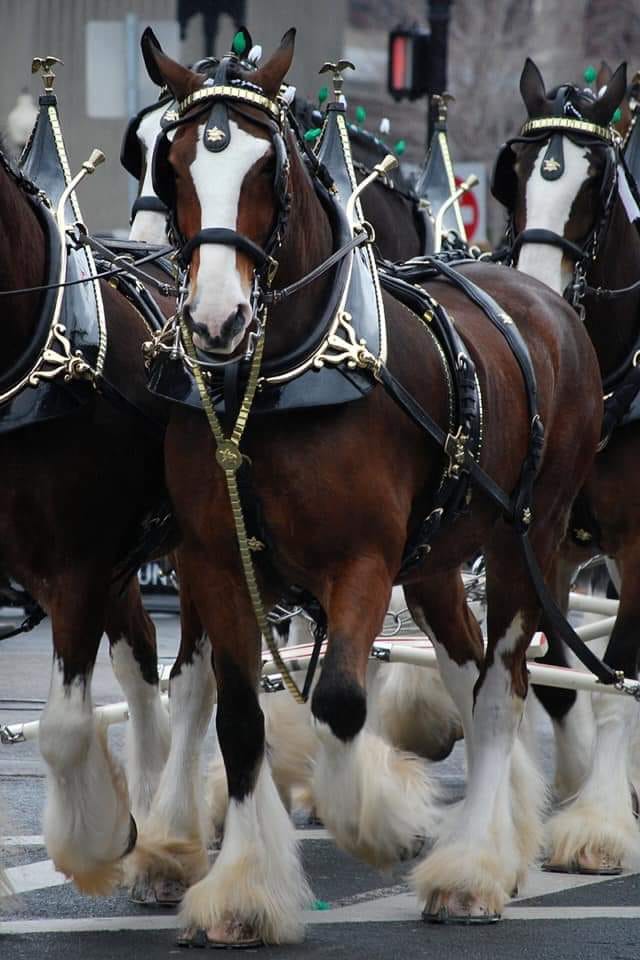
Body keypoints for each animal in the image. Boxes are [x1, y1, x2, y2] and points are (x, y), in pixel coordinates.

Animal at [142, 31, 604, 944]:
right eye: (172, 166)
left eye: (266, 166)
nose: (215, 321)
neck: (280, 380)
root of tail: (541, 298)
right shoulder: (214, 563)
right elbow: (238, 719)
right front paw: (242, 888)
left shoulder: (360, 561)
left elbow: (344, 701)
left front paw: (381, 820)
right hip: (438, 559)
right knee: (468, 670)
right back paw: (498, 837)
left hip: (528, 542)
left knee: (501, 689)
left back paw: (472, 866)